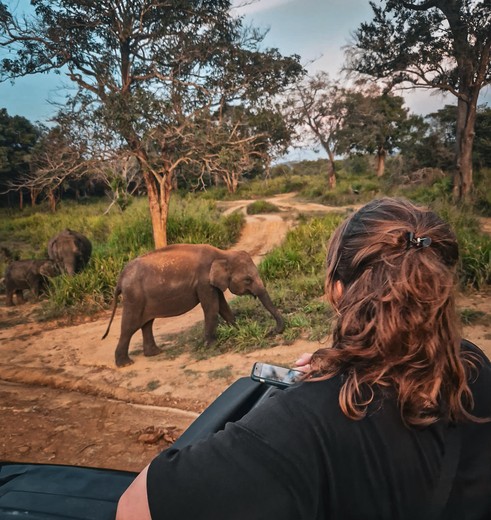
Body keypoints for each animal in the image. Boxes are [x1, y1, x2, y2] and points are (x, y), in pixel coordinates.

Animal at [103, 243, 284, 366]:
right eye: (248, 279)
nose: (273, 331)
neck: (222, 253)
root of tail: (120, 278)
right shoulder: (204, 282)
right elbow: (212, 308)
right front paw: (210, 346)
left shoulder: (212, 283)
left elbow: (223, 306)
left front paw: (237, 331)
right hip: (134, 297)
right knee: (130, 326)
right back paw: (125, 363)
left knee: (147, 323)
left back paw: (155, 353)